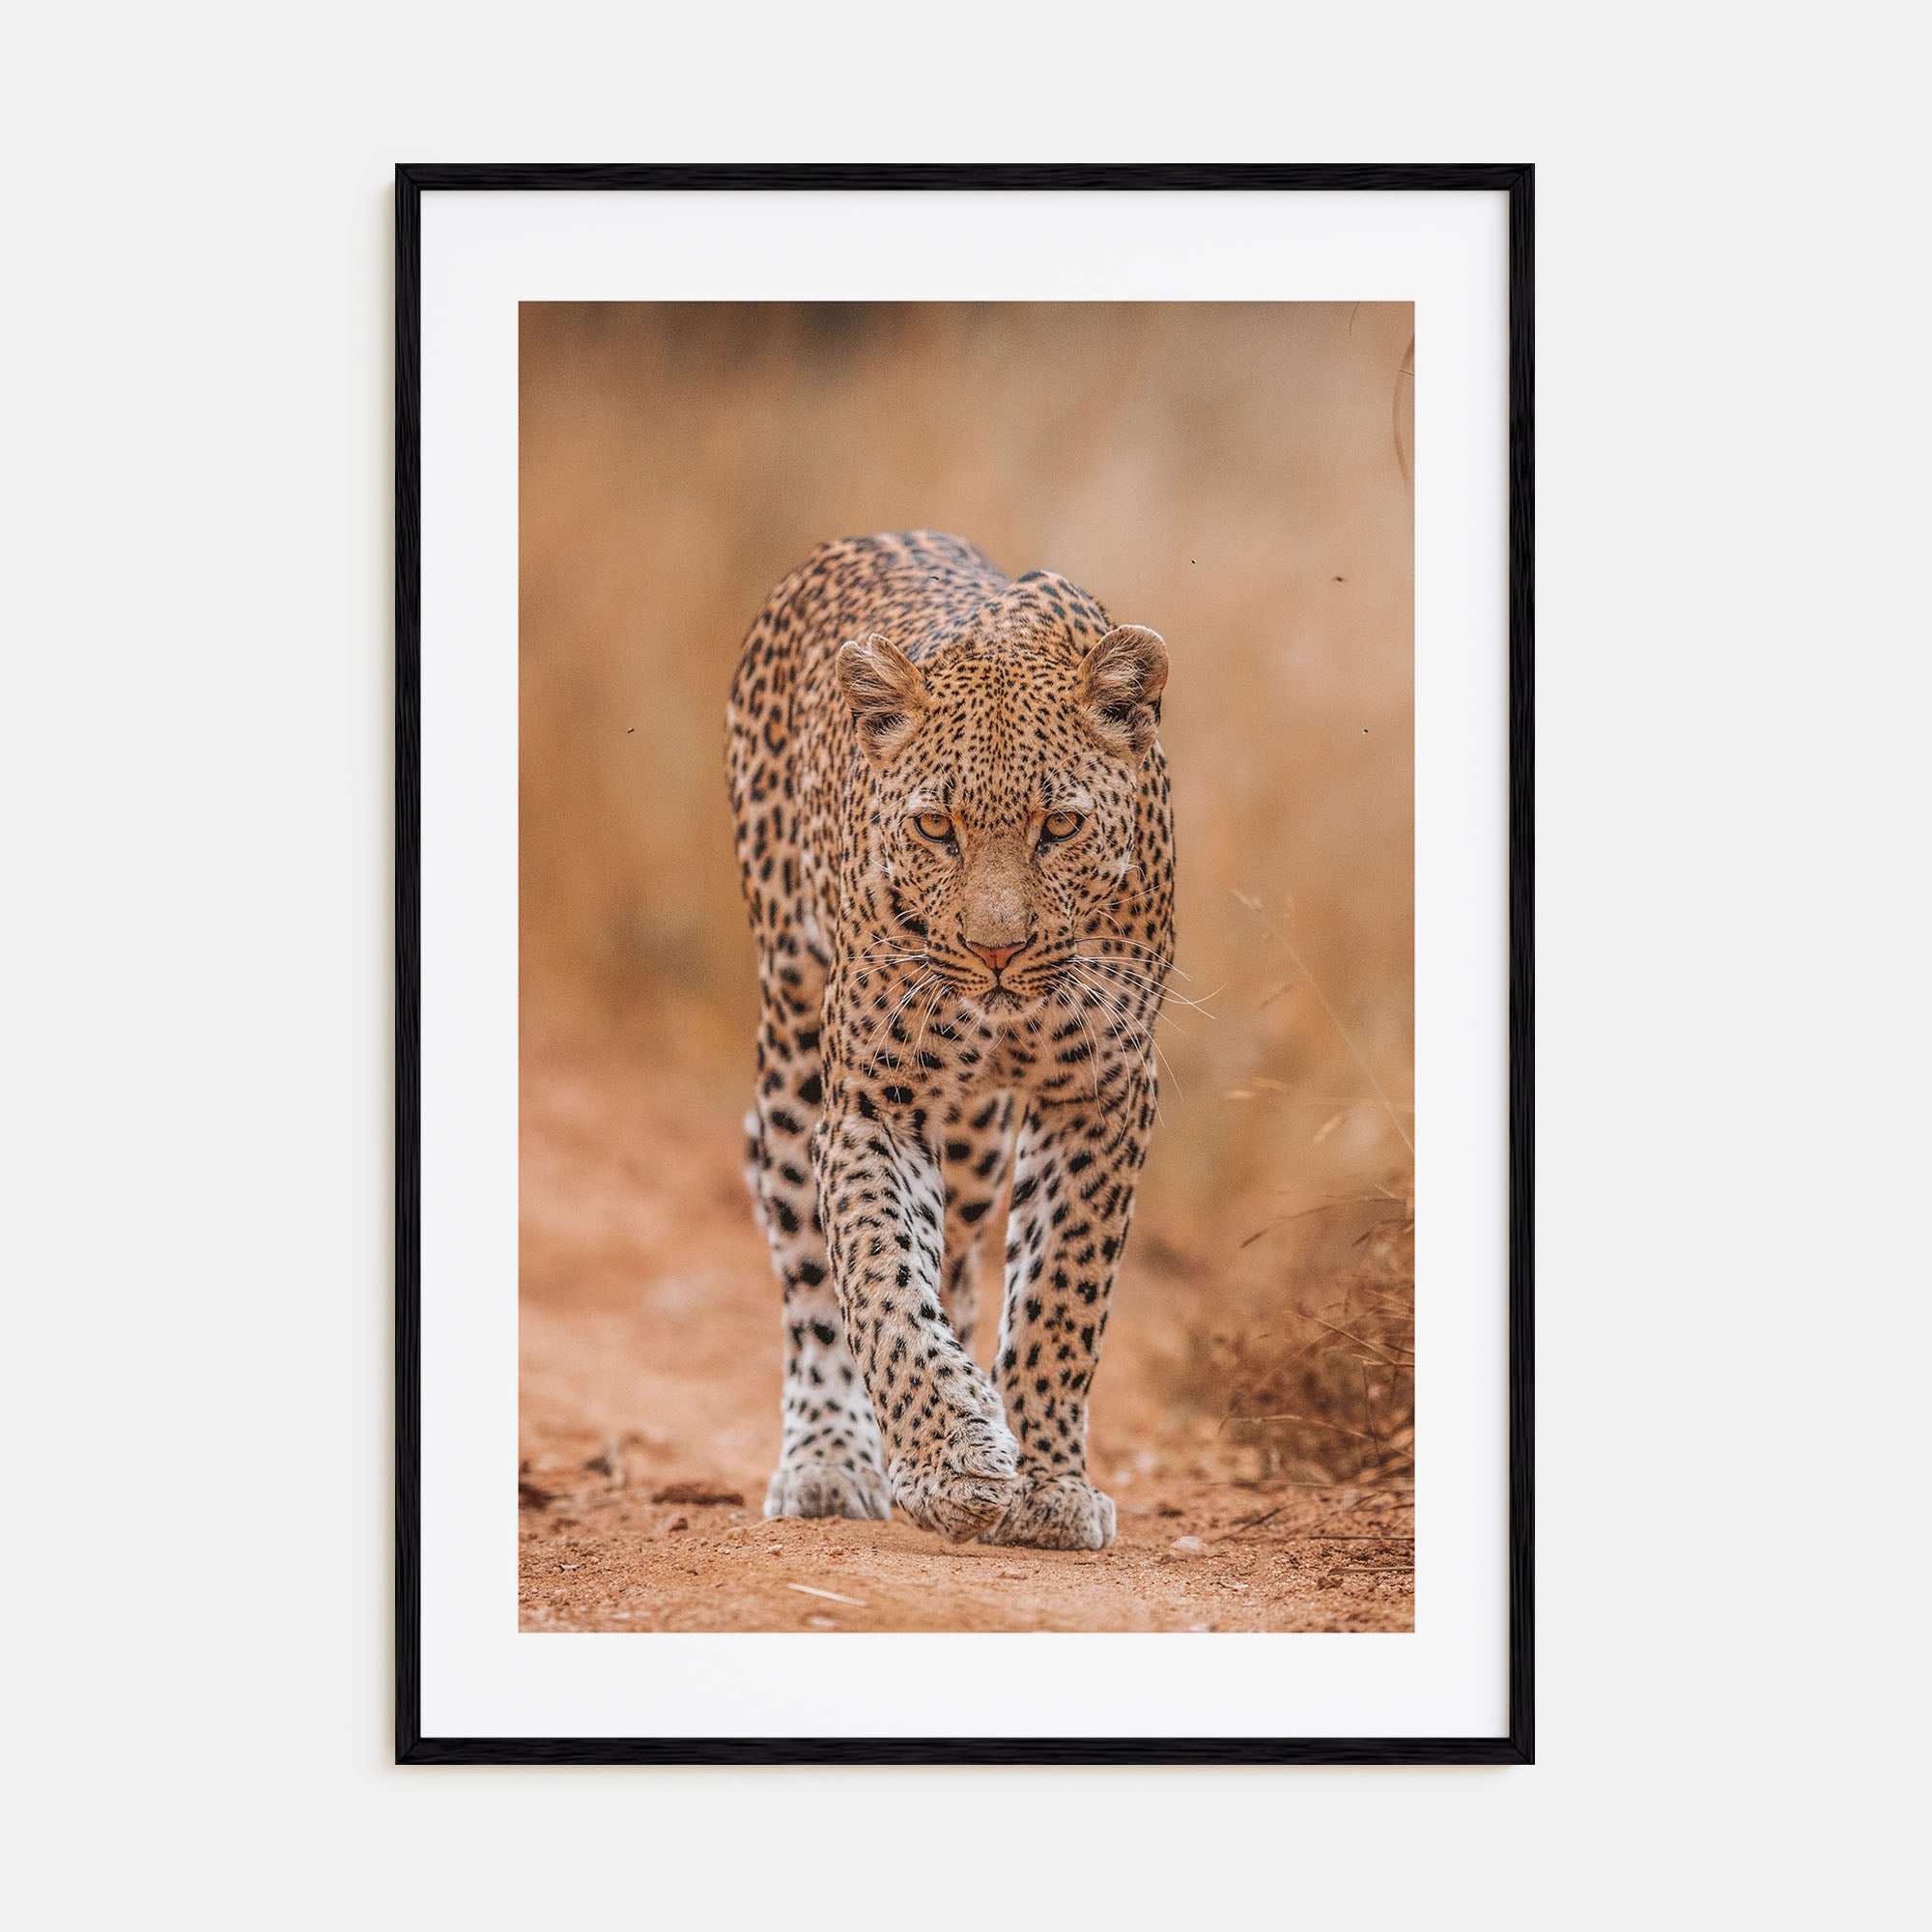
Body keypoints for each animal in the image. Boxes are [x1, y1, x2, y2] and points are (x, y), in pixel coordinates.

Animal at [725, 531, 1174, 1550]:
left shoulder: (1103, 1092)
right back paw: (830, 1461)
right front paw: (948, 1461)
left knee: (965, 1259)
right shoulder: (873, 1100)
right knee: (809, 1265)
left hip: (974, 1141)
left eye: (1061, 825)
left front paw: (1046, 1484)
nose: (995, 950)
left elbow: (1059, 1293)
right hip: (792, 1048)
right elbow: (881, 1280)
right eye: (935, 826)